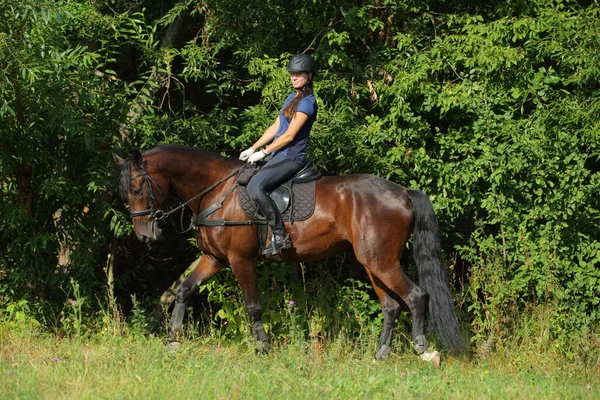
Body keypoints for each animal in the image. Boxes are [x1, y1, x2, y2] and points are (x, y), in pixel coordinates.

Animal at [115, 145, 466, 360]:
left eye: (137, 188)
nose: (145, 235)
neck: (217, 191)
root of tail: (402, 192)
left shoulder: (241, 260)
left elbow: (253, 306)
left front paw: (262, 347)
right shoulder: (214, 259)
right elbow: (184, 290)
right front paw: (174, 339)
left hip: (382, 262)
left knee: (417, 296)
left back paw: (423, 349)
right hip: (372, 263)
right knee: (391, 306)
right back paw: (381, 355)